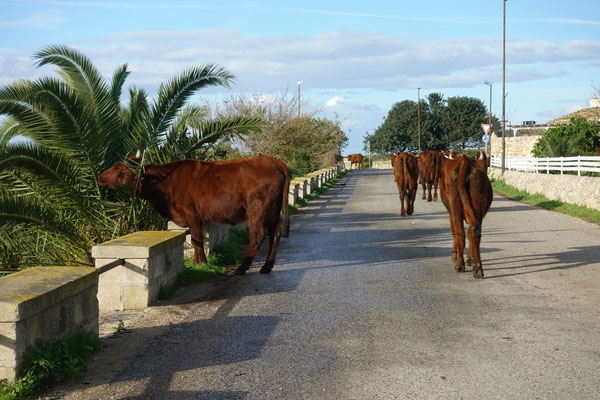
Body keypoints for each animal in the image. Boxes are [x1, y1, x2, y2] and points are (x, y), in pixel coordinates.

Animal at [98, 154, 290, 276]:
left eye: (118, 171)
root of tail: (269, 160)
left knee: (257, 237)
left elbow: (197, 238)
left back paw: (242, 268)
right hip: (273, 211)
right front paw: (199, 262)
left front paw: (201, 263)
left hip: (257, 211)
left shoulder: (191, 213)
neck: (166, 183)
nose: (99, 176)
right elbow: (195, 239)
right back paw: (266, 266)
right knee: (275, 233)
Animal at [438, 152, 494, 280]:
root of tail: (465, 162)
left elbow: (455, 231)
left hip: (455, 206)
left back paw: (459, 265)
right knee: (475, 232)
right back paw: (477, 269)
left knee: (460, 234)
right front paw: (470, 258)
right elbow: (470, 233)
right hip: (478, 207)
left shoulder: (450, 212)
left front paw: (455, 255)